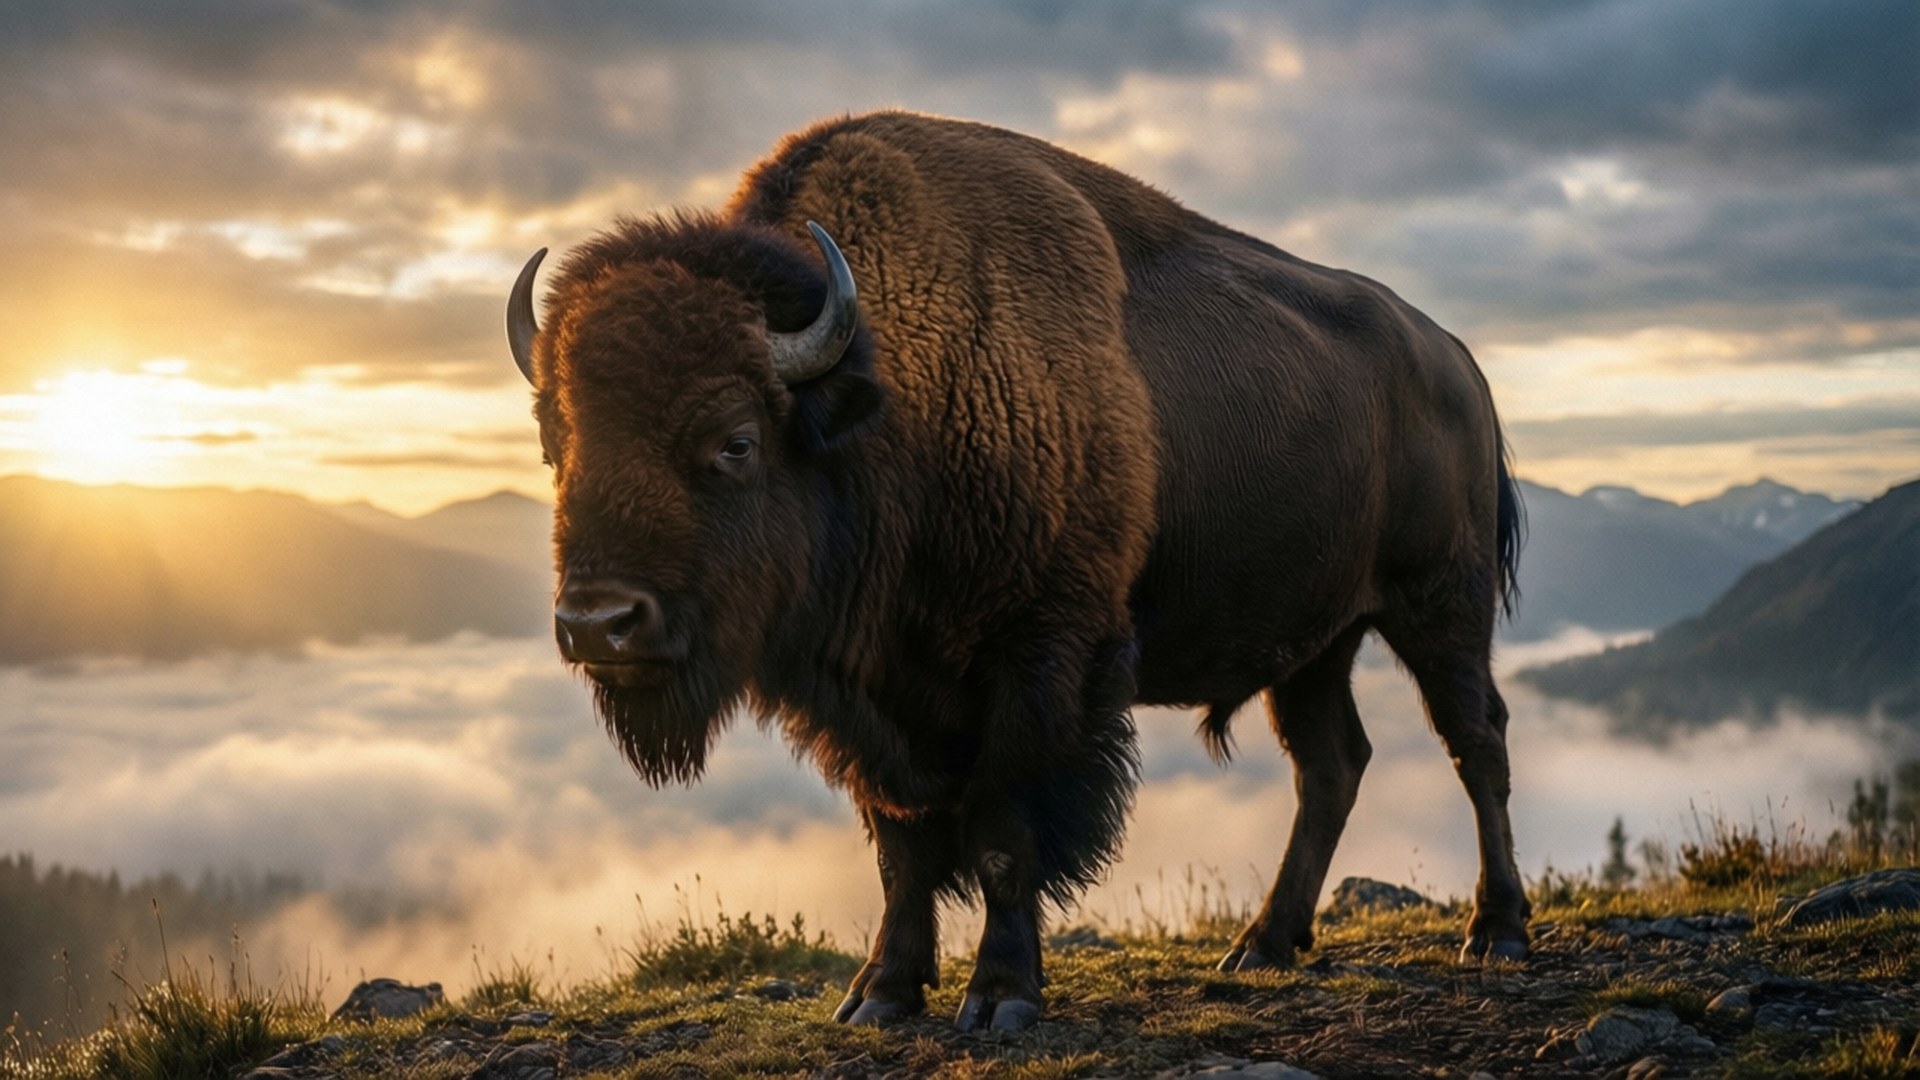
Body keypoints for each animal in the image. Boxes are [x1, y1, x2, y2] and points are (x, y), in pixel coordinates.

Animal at [506, 111, 1526, 1032]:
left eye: (736, 441)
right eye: (558, 442)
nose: (598, 624)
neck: (889, 403)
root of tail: (1456, 362)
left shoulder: (1039, 664)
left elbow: (1003, 833)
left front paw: (1001, 998)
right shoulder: (876, 703)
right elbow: (902, 848)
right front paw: (879, 996)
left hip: (1440, 606)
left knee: (1475, 740)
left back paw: (1496, 932)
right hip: (1314, 644)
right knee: (1330, 764)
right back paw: (1263, 946)